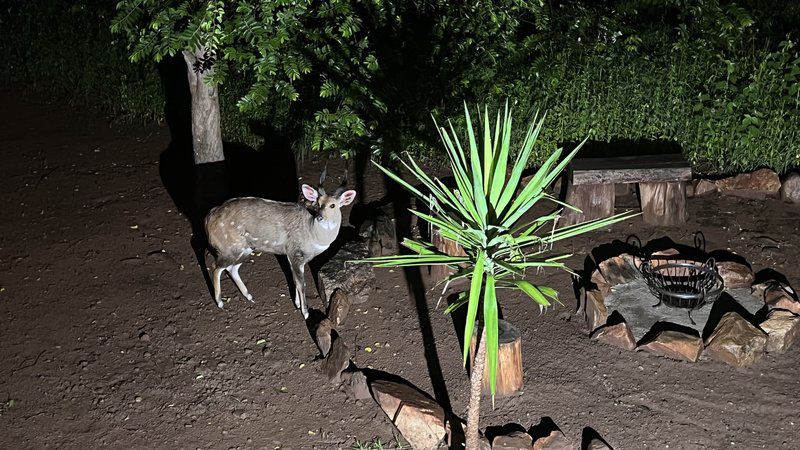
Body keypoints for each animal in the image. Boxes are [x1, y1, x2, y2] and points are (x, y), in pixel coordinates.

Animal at [205, 169, 354, 320]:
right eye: (317, 203)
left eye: (332, 205)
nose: (320, 217)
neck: (313, 235)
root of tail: (209, 218)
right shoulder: (295, 253)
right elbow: (301, 283)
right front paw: (305, 313)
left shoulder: (290, 256)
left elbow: (294, 280)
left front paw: (297, 304)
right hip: (230, 247)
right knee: (216, 267)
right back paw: (220, 302)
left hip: (245, 249)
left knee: (232, 268)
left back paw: (249, 296)